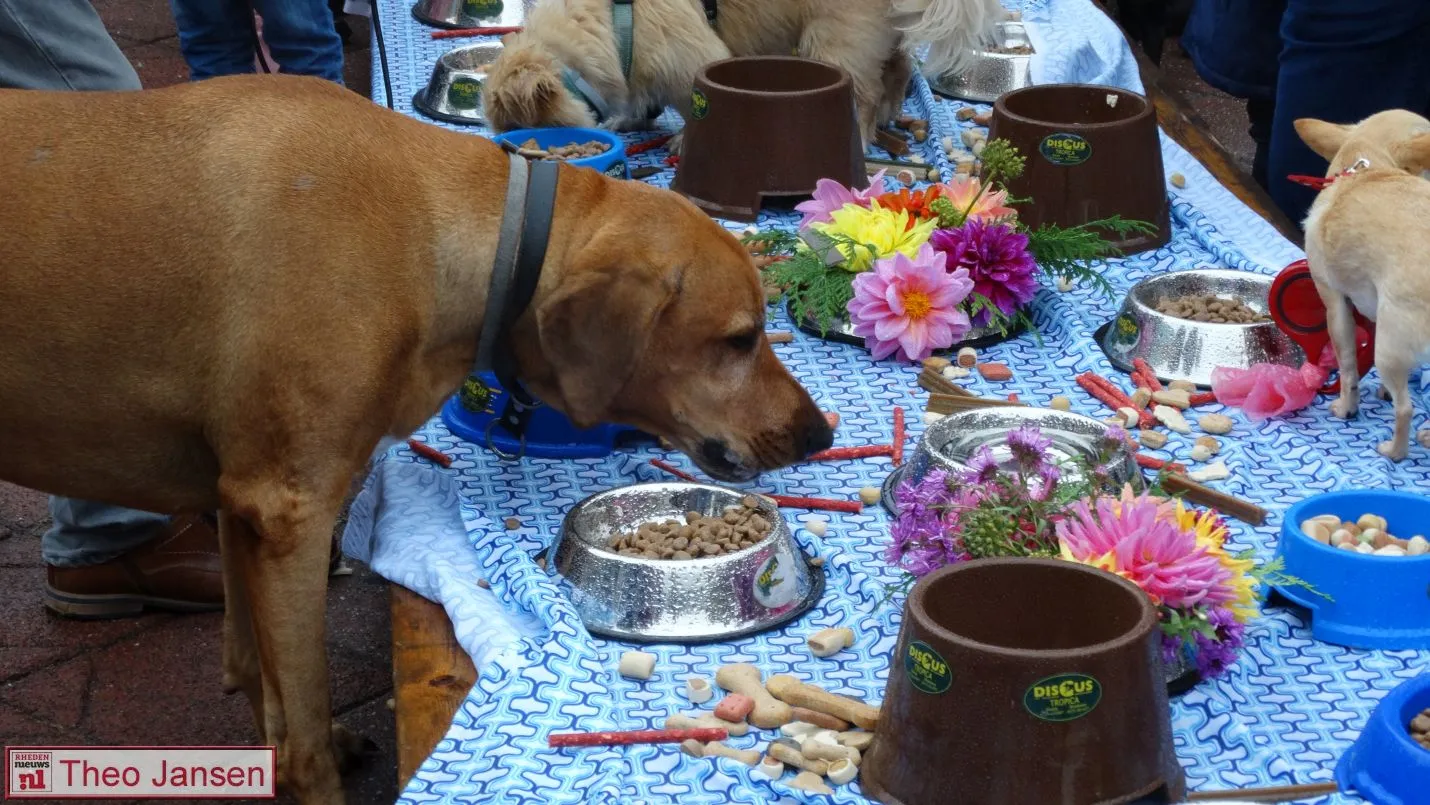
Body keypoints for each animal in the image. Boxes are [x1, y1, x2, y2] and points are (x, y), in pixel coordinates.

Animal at [0, 73, 835, 800]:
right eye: (740, 339)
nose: (819, 433)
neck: (456, 232)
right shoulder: (289, 513)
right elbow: (302, 731)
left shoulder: (239, 502)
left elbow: (254, 671)